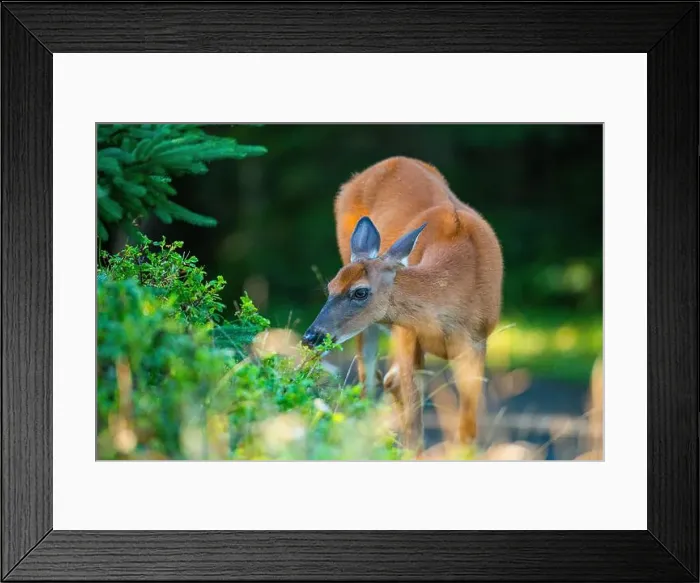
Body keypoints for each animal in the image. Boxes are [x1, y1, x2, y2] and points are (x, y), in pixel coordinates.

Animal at [302, 156, 504, 452]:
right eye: (330, 288)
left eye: (360, 292)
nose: (311, 336)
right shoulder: (408, 333)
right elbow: (413, 421)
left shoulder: (478, 341)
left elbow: (467, 428)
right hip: (372, 326)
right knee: (370, 380)